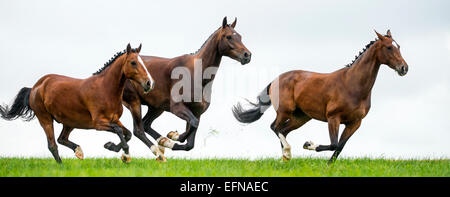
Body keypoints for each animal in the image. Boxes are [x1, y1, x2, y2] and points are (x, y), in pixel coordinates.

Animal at [0, 43, 155, 163]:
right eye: (133, 62)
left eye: (143, 62)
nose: (149, 83)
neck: (106, 89)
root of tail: (35, 87)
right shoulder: (98, 123)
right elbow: (119, 131)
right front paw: (125, 155)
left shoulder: (115, 119)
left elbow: (127, 134)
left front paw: (111, 146)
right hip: (45, 119)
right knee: (52, 145)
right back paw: (61, 166)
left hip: (70, 122)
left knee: (61, 139)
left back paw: (78, 152)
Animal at [121, 17, 251, 162]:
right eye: (228, 36)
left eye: (240, 36)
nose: (247, 55)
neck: (197, 74)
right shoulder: (178, 108)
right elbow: (192, 126)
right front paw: (174, 136)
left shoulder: (197, 112)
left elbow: (190, 142)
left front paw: (171, 139)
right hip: (134, 103)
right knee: (138, 130)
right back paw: (157, 151)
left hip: (156, 108)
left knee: (145, 124)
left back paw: (162, 143)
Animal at [234, 30, 410, 163]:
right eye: (389, 47)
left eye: (399, 46)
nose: (404, 68)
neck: (353, 85)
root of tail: (276, 80)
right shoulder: (333, 118)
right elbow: (333, 144)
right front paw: (308, 144)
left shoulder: (355, 123)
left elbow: (340, 146)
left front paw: (328, 166)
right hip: (285, 111)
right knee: (275, 128)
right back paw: (287, 153)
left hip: (301, 117)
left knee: (283, 131)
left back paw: (285, 158)